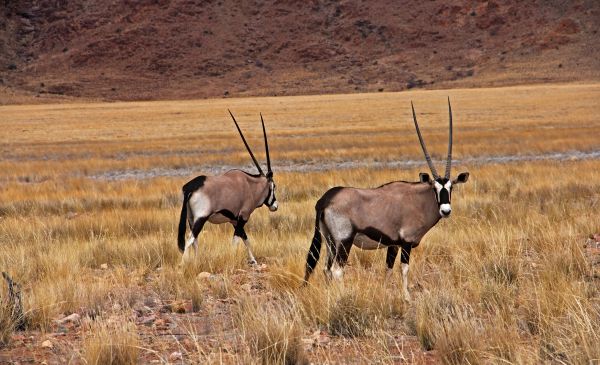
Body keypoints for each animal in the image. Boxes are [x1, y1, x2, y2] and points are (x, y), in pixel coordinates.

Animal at [178, 111, 278, 264]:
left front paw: (253, 260)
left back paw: (196, 261)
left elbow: (246, 239)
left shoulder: (234, 220)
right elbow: (236, 241)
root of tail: (190, 187)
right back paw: (183, 264)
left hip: (191, 219)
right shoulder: (243, 218)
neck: (250, 185)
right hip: (201, 218)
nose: (275, 206)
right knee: (190, 240)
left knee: (194, 241)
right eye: (274, 187)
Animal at [304, 99, 468, 298]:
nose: (446, 210)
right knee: (337, 270)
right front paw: (407, 297)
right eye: (435, 188)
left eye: (451, 187)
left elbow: (388, 270)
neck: (418, 200)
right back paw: (342, 295)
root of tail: (325, 200)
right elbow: (404, 269)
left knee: (326, 269)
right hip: (344, 241)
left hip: (329, 241)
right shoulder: (406, 243)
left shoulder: (393, 245)